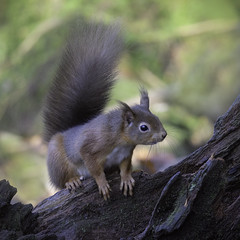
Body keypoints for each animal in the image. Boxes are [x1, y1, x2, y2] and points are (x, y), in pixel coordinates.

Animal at [42, 21, 167, 201]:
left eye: (156, 117)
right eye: (144, 127)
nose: (164, 135)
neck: (121, 140)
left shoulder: (125, 155)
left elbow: (125, 167)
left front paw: (127, 178)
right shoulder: (90, 149)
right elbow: (94, 169)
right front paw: (102, 183)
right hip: (58, 160)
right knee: (61, 179)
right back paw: (72, 181)